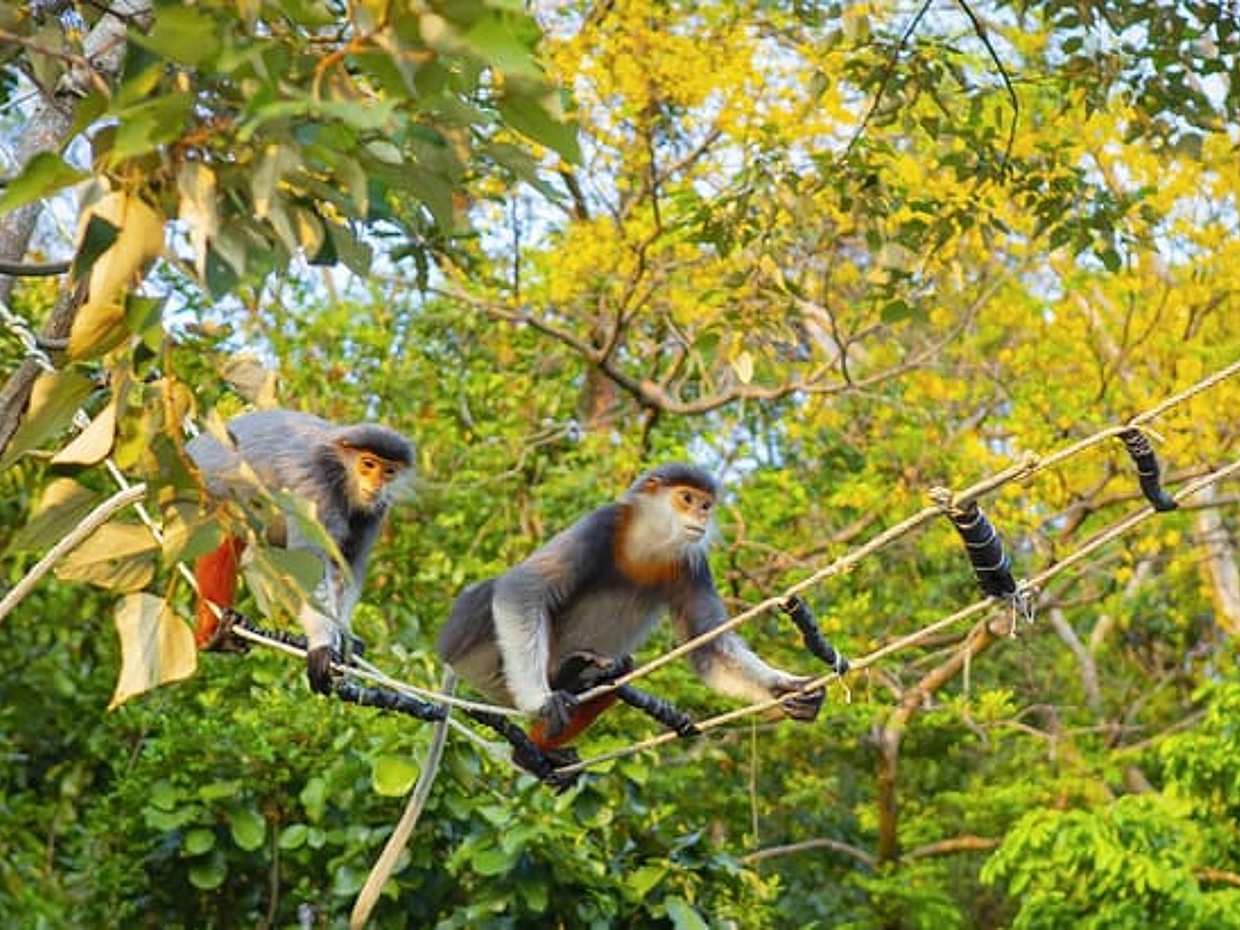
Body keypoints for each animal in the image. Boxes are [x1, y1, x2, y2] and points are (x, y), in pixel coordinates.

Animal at [186, 410, 412, 695]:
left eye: (389, 470)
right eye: (368, 464)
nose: (376, 484)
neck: (341, 472)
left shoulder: (375, 510)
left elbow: (346, 567)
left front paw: (344, 639)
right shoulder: (314, 488)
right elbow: (310, 563)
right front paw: (322, 646)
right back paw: (213, 633)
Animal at [436, 463, 824, 753]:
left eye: (705, 505)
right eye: (686, 498)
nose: (701, 516)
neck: (646, 544)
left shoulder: (691, 563)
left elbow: (709, 647)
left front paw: (785, 690)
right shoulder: (602, 523)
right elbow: (522, 589)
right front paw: (540, 700)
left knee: (617, 669)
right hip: (482, 663)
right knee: (490, 593)